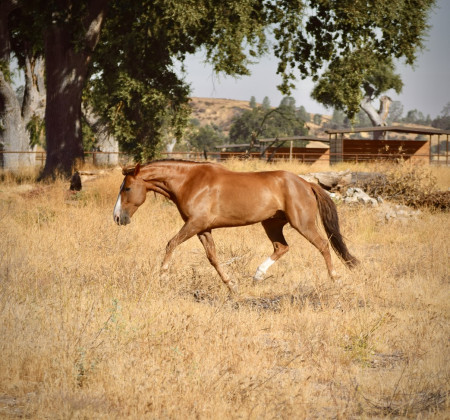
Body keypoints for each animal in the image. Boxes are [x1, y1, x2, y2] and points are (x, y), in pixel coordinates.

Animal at [113, 159, 358, 294]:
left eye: (127, 188)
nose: (117, 217)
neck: (190, 182)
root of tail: (306, 183)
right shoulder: (202, 229)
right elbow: (212, 257)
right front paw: (231, 285)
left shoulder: (195, 224)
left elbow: (171, 243)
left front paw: (162, 276)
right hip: (271, 223)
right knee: (281, 247)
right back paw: (257, 276)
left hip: (302, 223)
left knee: (323, 245)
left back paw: (335, 279)